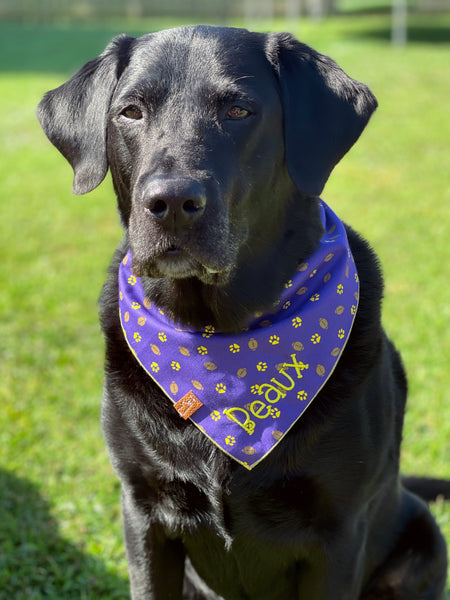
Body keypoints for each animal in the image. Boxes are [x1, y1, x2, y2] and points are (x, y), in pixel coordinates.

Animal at [37, 25, 448, 596]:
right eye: (130, 112)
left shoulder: (338, 534)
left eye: (238, 110)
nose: (170, 202)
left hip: (425, 539)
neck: (216, 338)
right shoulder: (143, 514)